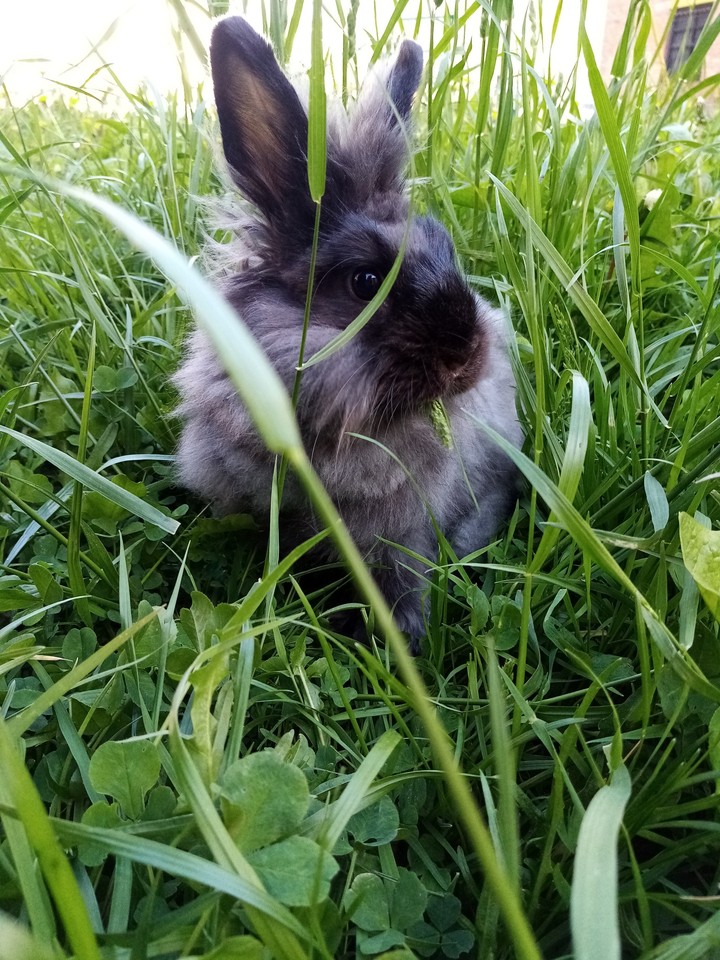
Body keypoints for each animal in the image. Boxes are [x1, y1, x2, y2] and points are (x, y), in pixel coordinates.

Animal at [173, 16, 522, 651]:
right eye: (364, 282)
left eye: (445, 248)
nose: (467, 356)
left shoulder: (404, 533)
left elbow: (402, 581)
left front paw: (395, 639)